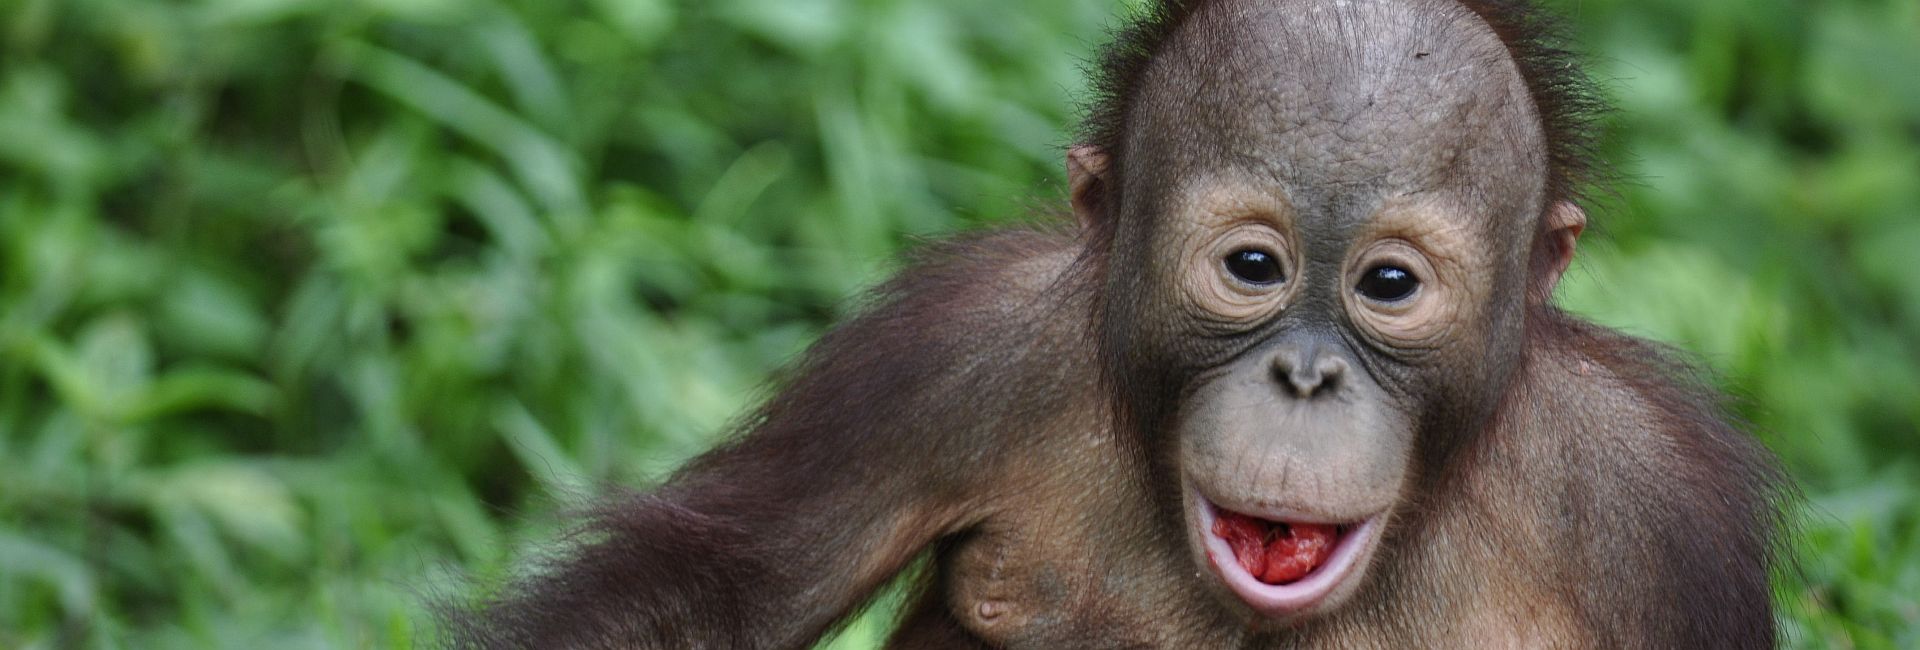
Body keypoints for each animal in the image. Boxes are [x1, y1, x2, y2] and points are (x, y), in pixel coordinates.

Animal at [442, 0, 1788, 647]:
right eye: (1253, 266)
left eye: (1390, 287)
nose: (1305, 375)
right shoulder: (946, 354)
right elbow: (712, 600)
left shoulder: (1662, 515)